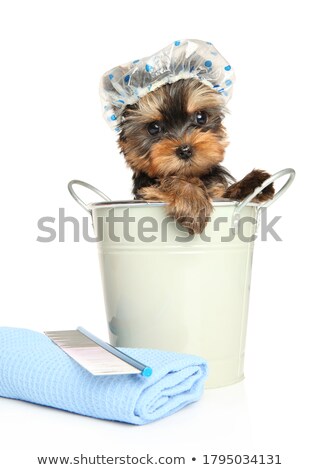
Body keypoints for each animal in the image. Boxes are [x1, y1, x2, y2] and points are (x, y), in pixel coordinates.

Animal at [119, 79, 274, 233]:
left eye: (201, 117)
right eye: (153, 128)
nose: (185, 150)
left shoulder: (218, 194)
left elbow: (226, 193)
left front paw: (254, 183)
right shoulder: (146, 189)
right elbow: (169, 180)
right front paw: (191, 201)